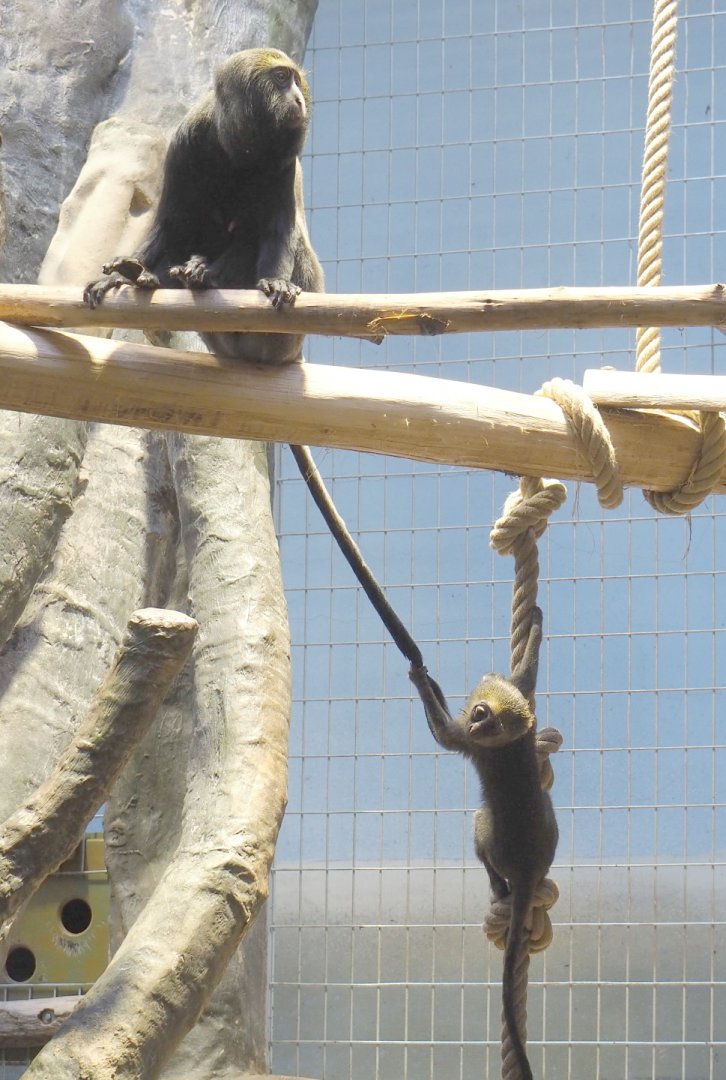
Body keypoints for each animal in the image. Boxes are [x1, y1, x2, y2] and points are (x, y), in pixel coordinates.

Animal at [84, 47, 323, 364]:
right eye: (282, 78)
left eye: (296, 80)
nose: (297, 98)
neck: (240, 150)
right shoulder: (186, 138)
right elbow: (170, 221)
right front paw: (118, 277)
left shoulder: (285, 164)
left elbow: (278, 229)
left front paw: (274, 280)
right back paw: (144, 276)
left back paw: (202, 276)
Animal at [409, 607, 557, 1080]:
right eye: (480, 711)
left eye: (487, 720)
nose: (478, 722)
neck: (507, 738)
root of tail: (529, 868)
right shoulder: (516, 703)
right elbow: (525, 676)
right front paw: (536, 626)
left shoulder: (471, 742)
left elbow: (445, 736)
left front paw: (420, 681)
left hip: (494, 840)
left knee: (480, 827)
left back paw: (499, 886)